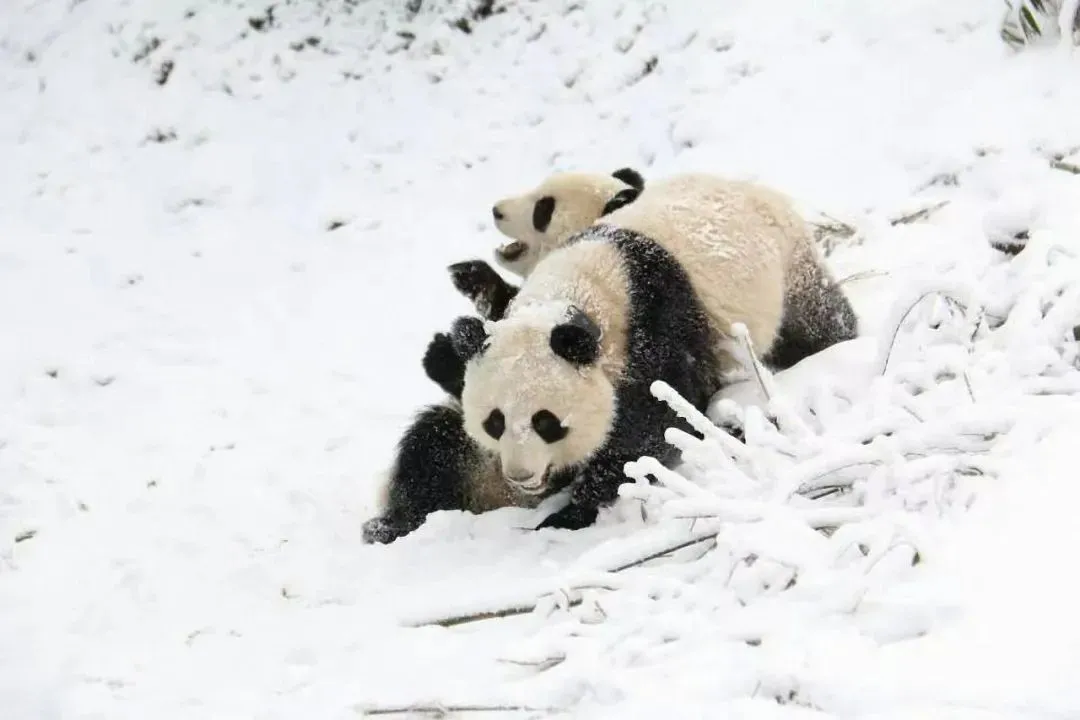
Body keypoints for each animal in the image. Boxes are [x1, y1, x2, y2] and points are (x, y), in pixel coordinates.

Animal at [362, 167, 859, 539]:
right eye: (495, 422)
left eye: (546, 422)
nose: (521, 475)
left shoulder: (657, 329)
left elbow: (650, 428)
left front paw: (568, 515)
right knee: (432, 449)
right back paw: (390, 525)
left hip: (790, 270)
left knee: (816, 323)